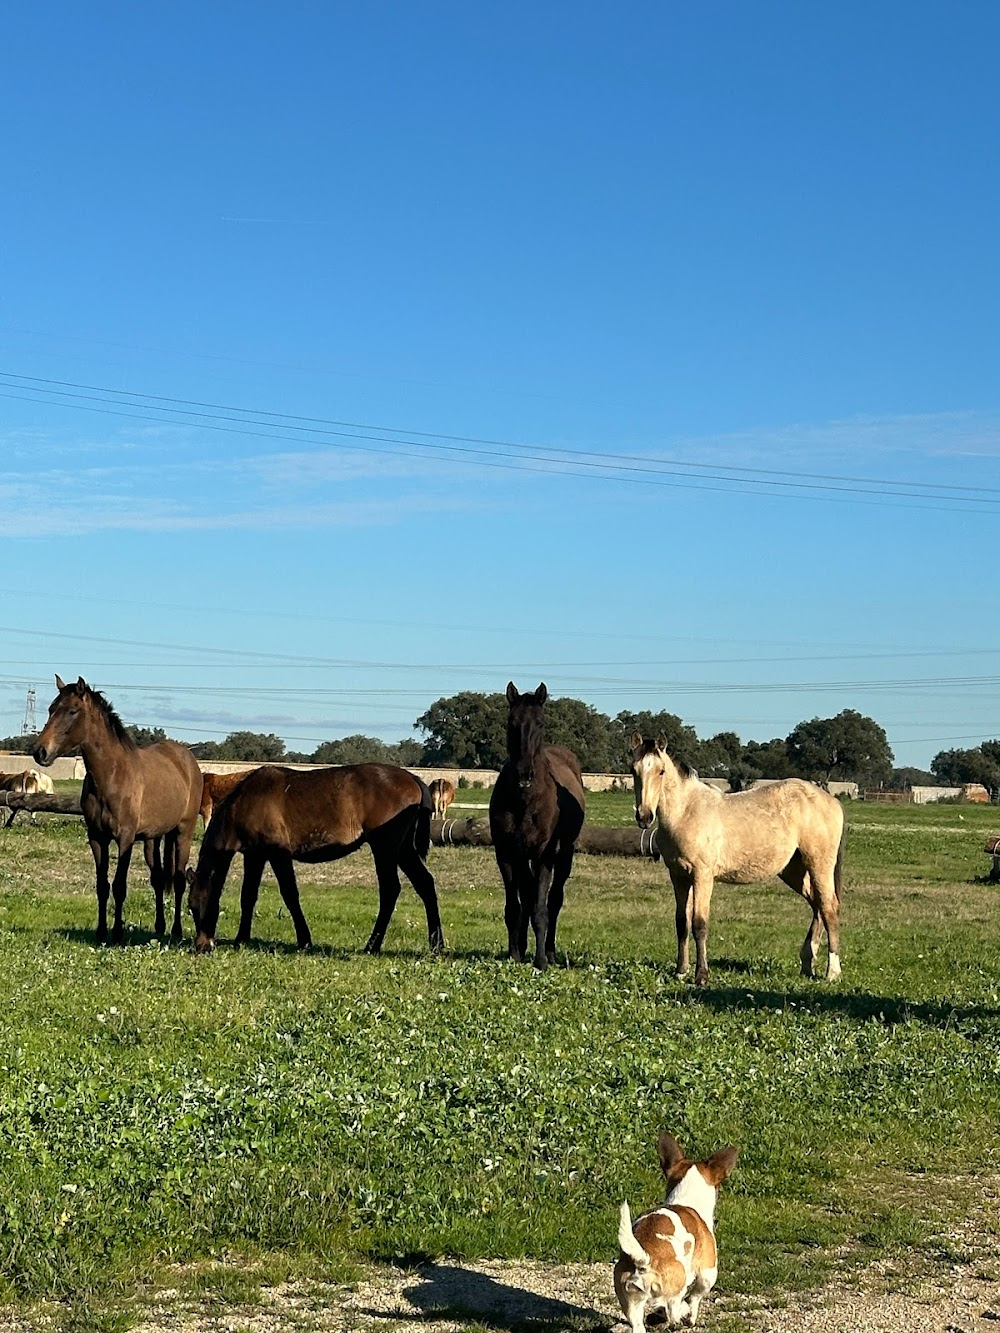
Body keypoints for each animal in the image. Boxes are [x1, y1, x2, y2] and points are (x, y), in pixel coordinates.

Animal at [34, 677, 204, 949]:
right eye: (51, 709)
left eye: (72, 711)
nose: (40, 751)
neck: (112, 775)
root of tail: (187, 758)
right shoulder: (97, 838)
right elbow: (102, 886)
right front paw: (101, 932)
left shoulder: (125, 839)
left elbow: (119, 886)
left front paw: (117, 933)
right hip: (152, 839)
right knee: (158, 879)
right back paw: (159, 927)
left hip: (183, 832)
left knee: (178, 881)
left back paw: (176, 930)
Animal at [186, 762, 445, 959]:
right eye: (191, 907)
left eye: (207, 905)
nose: (202, 946)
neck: (244, 802)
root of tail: (413, 778)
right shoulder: (255, 855)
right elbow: (248, 896)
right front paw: (241, 939)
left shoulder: (278, 854)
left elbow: (290, 894)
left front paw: (304, 940)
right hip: (403, 849)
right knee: (425, 884)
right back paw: (436, 944)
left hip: (385, 847)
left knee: (390, 889)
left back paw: (372, 945)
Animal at [488, 682, 584, 975]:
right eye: (511, 722)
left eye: (540, 723)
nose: (524, 775)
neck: (525, 800)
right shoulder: (507, 854)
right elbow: (514, 907)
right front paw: (514, 954)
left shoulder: (544, 856)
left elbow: (541, 909)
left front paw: (540, 960)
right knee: (527, 897)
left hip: (564, 856)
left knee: (553, 901)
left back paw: (549, 952)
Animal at [616, 1130, 741, 1327]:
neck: (685, 1199)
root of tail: (644, 1260)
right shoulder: (707, 1272)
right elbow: (696, 1295)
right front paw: (691, 1315)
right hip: (677, 1286)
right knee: (675, 1309)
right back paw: (681, 1311)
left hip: (632, 1303)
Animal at [634, 735, 848, 986]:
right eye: (634, 769)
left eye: (661, 771)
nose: (644, 816)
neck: (686, 812)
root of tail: (832, 801)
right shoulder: (678, 876)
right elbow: (681, 923)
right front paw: (681, 971)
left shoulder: (702, 876)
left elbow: (699, 923)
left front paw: (701, 975)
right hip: (793, 870)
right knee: (817, 905)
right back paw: (807, 962)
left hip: (818, 864)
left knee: (829, 907)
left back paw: (832, 971)